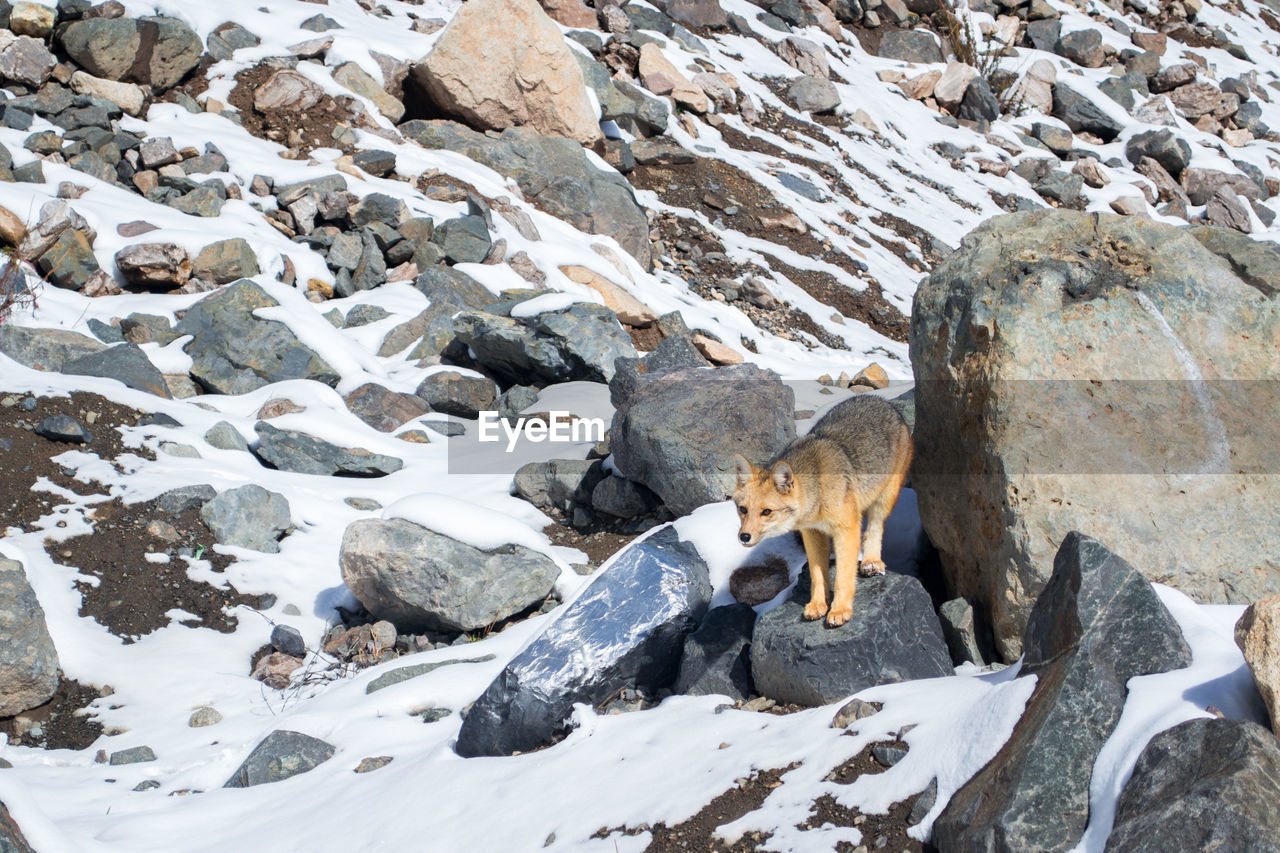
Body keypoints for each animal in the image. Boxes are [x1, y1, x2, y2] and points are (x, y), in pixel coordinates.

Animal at [732, 391, 911, 625]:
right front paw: (818, 604)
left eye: (766, 512)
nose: (743, 537)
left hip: (884, 500)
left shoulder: (846, 530)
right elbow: (818, 574)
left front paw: (840, 609)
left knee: (874, 529)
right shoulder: (812, 533)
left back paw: (871, 562)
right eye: (743, 510)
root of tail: (880, 399)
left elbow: (843, 575)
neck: (818, 492)